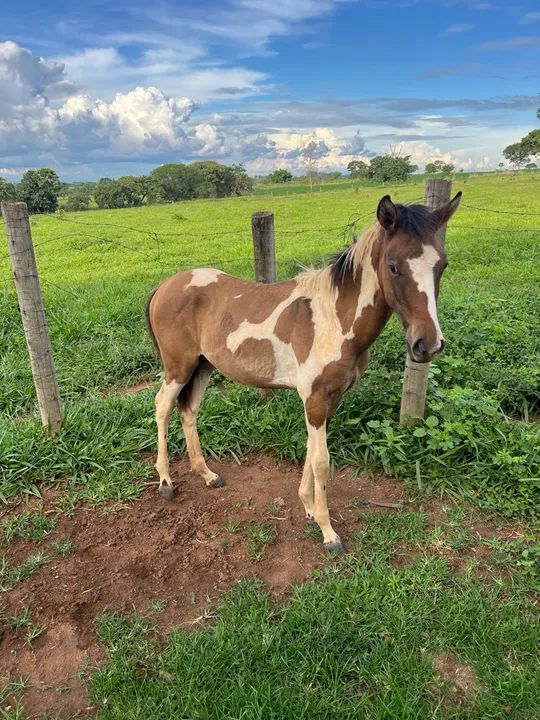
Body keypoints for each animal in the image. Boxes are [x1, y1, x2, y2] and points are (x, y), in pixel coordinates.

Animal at [146, 192, 462, 553]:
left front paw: (309, 508)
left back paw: (207, 475)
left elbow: (312, 454)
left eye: (442, 265)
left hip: (203, 366)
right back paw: (166, 481)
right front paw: (328, 532)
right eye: (394, 266)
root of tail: (164, 286)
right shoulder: (314, 398)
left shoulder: (329, 399)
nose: (428, 344)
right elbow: (322, 462)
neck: (334, 319)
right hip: (178, 367)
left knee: (189, 411)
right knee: (162, 407)